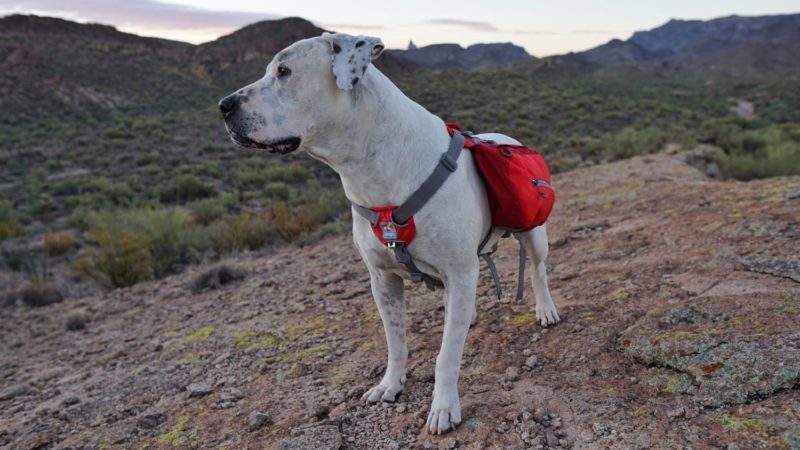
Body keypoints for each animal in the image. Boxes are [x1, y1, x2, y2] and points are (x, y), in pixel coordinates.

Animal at [219, 30, 556, 432]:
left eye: (284, 71)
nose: (223, 105)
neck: (370, 168)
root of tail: (506, 136)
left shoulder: (460, 271)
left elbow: (446, 356)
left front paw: (444, 406)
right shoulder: (382, 280)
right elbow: (395, 341)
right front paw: (390, 385)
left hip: (533, 234)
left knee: (537, 270)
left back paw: (545, 309)